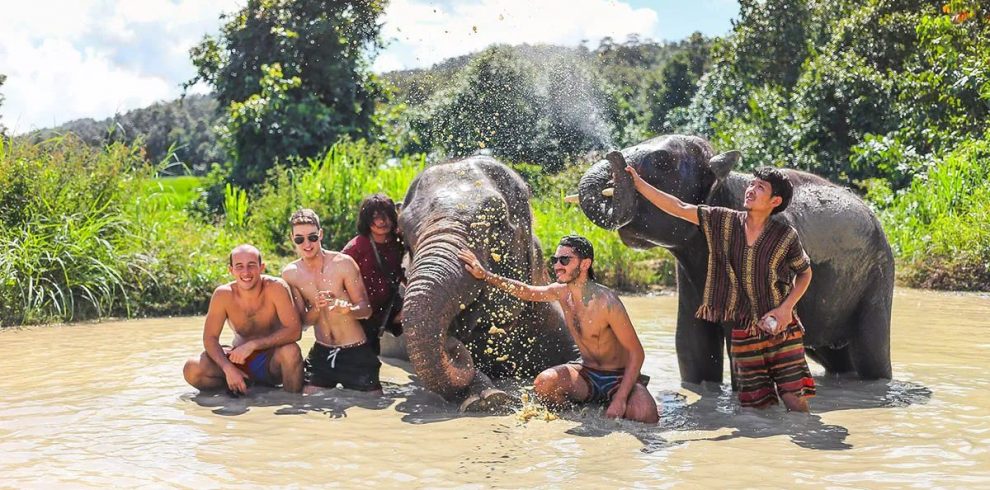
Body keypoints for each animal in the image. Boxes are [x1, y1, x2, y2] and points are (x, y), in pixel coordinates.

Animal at [576, 135, 896, 386]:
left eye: (662, 161)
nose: (614, 155)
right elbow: (693, 348)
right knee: (838, 358)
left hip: (877, 278)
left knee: (871, 354)